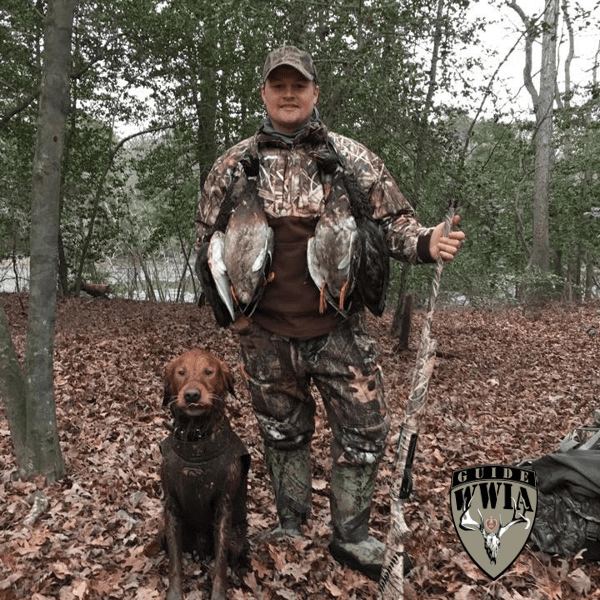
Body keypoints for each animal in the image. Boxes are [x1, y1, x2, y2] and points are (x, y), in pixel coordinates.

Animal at [161, 346, 250, 600]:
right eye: (180, 372)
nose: (191, 395)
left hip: (238, 537)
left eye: (209, 372)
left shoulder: (223, 505)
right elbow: (175, 563)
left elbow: (220, 564)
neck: (196, 439)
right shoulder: (171, 506)